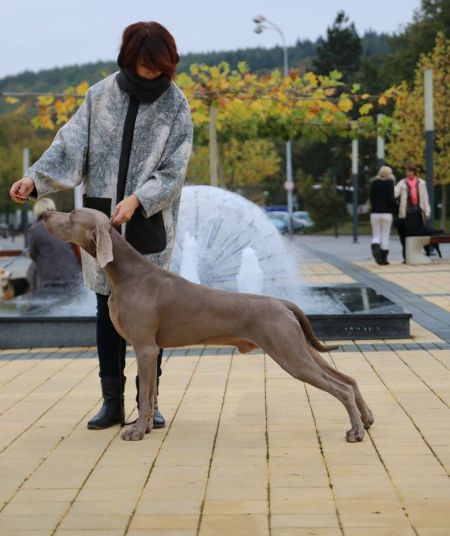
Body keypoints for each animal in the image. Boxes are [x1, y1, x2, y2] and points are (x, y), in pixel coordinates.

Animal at [44, 207, 374, 442]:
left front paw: (137, 432)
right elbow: (150, 393)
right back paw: (367, 420)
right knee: (348, 379)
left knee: (340, 388)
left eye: (72, 215)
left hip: (289, 353)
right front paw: (146, 428)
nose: (45, 214)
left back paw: (356, 431)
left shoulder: (145, 347)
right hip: (299, 346)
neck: (126, 274)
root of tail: (282, 302)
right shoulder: (151, 349)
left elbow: (146, 394)